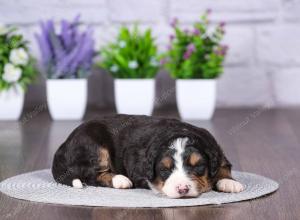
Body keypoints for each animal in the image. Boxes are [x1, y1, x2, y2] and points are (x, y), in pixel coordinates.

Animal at [52, 114, 244, 199]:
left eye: (198, 166)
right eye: (164, 170)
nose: (182, 189)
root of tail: (64, 145)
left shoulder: (217, 151)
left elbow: (223, 167)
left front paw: (229, 183)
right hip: (94, 146)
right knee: (90, 174)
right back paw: (120, 180)